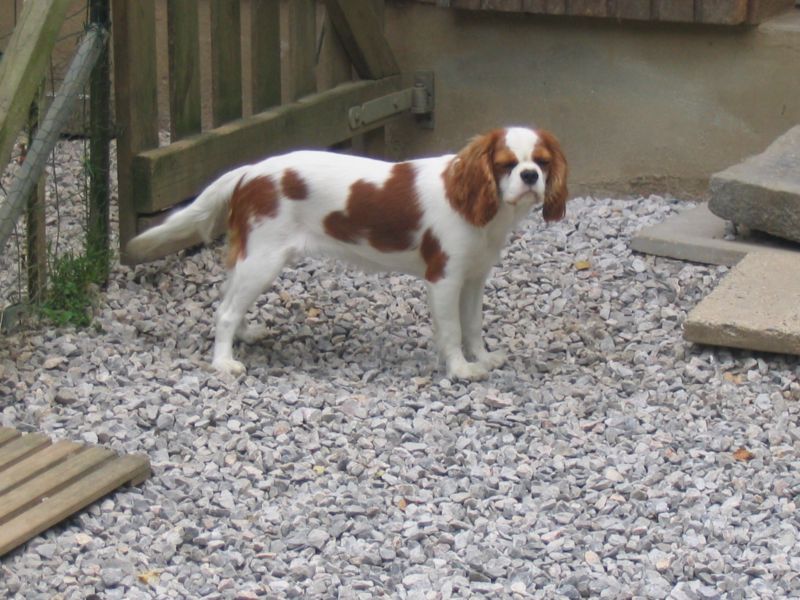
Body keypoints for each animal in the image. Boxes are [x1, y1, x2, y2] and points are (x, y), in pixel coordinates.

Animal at [128, 126, 568, 380]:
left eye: (542, 162)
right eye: (506, 164)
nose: (530, 176)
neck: (480, 204)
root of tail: (250, 171)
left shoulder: (474, 278)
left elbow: (473, 325)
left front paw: (484, 358)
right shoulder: (444, 278)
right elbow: (453, 330)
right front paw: (461, 369)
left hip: (254, 256)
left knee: (228, 297)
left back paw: (244, 335)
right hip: (264, 260)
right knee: (225, 311)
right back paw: (223, 362)